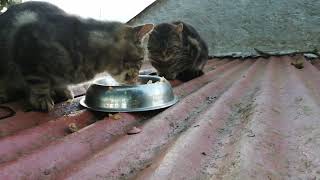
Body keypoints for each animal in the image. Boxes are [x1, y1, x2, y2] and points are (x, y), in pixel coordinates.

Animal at [0, 1, 155, 111]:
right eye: (141, 59)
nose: (136, 78)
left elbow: (59, 83)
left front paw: (63, 90)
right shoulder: (28, 51)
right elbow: (39, 83)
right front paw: (42, 99)